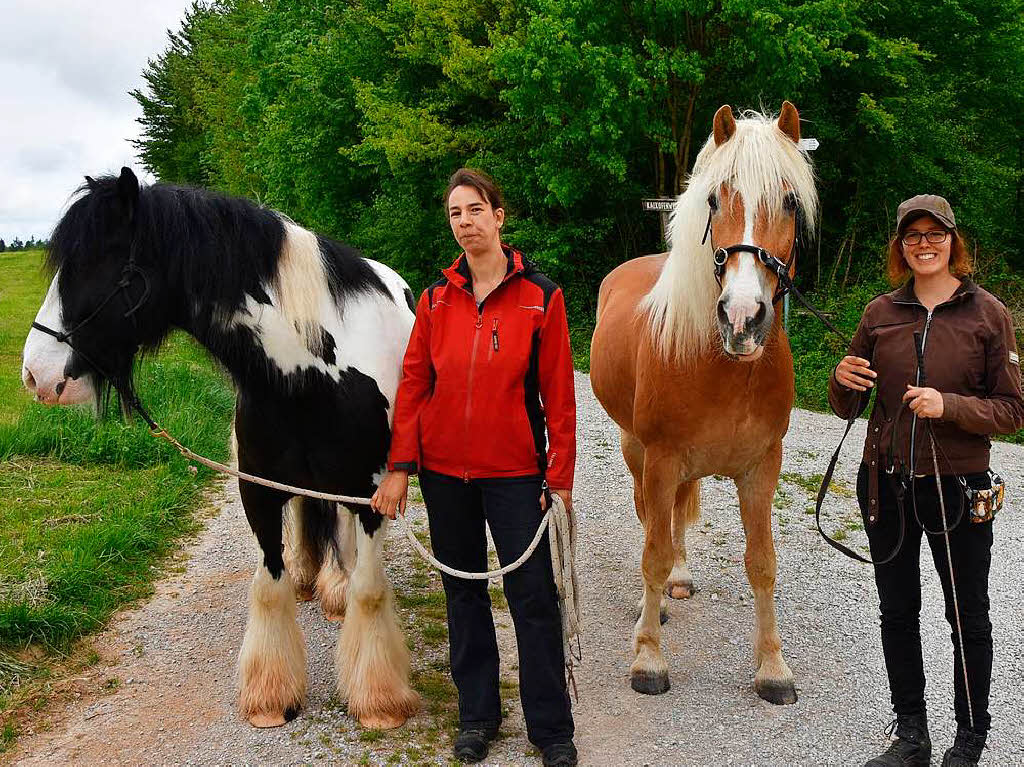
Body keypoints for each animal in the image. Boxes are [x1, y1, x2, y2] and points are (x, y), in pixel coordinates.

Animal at [24, 168, 423, 729]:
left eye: (94, 263)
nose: (33, 373)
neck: (309, 376)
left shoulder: (371, 497)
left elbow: (369, 590)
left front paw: (379, 699)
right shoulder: (259, 491)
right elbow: (270, 584)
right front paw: (271, 696)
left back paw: (335, 590)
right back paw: (313, 580)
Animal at [593, 103, 815, 704]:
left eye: (790, 200)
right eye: (716, 199)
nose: (742, 317)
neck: (724, 368)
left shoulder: (762, 467)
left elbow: (762, 563)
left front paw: (773, 667)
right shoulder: (662, 456)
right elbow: (650, 552)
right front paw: (648, 659)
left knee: (673, 519)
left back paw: (681, 577)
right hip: (637, 450)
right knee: (651, 516)